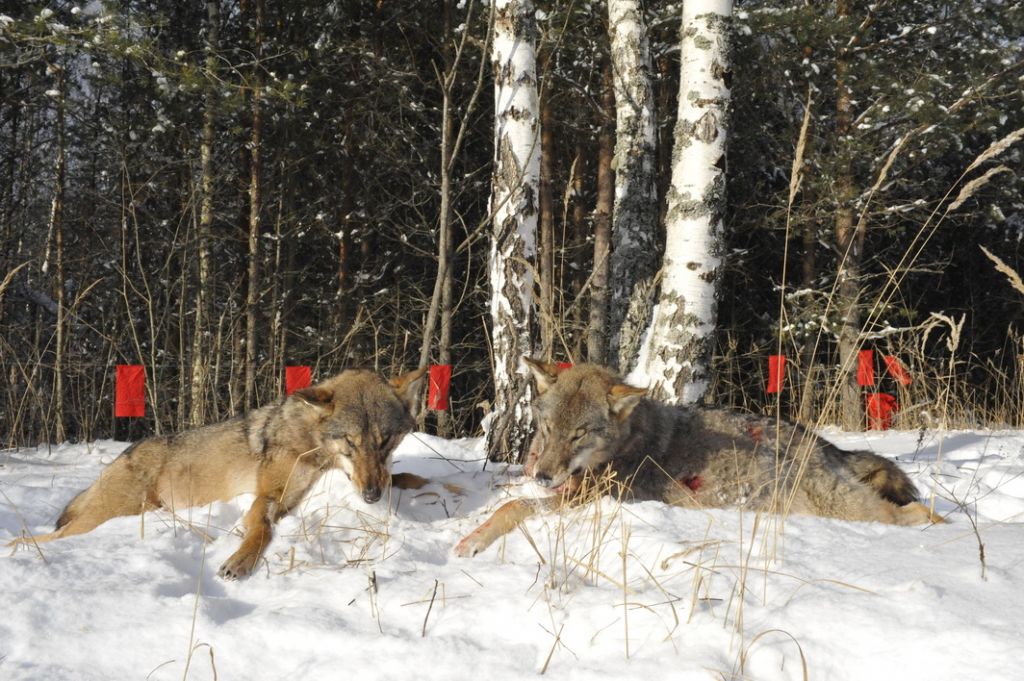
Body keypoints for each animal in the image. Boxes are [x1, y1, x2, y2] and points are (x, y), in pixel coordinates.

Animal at [12, 366, 436, 577]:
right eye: (350, 442)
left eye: (384, 442)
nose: (371, 497)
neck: (313, 445)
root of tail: (125, 454)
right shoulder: (267, 497)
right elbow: (260, 530)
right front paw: (239, 561)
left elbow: (403, 477)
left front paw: (429, 484)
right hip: (108, 515)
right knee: (40, 537)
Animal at [456, 358, 942, 557]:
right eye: (549, 429)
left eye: (579, 434)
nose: (542, 474)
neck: (628, 441)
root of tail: (824, 445)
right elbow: (504, 496)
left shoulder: (584, 501)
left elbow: (512, 506)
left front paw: (471, 540)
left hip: (831, 504)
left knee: (917, 512)